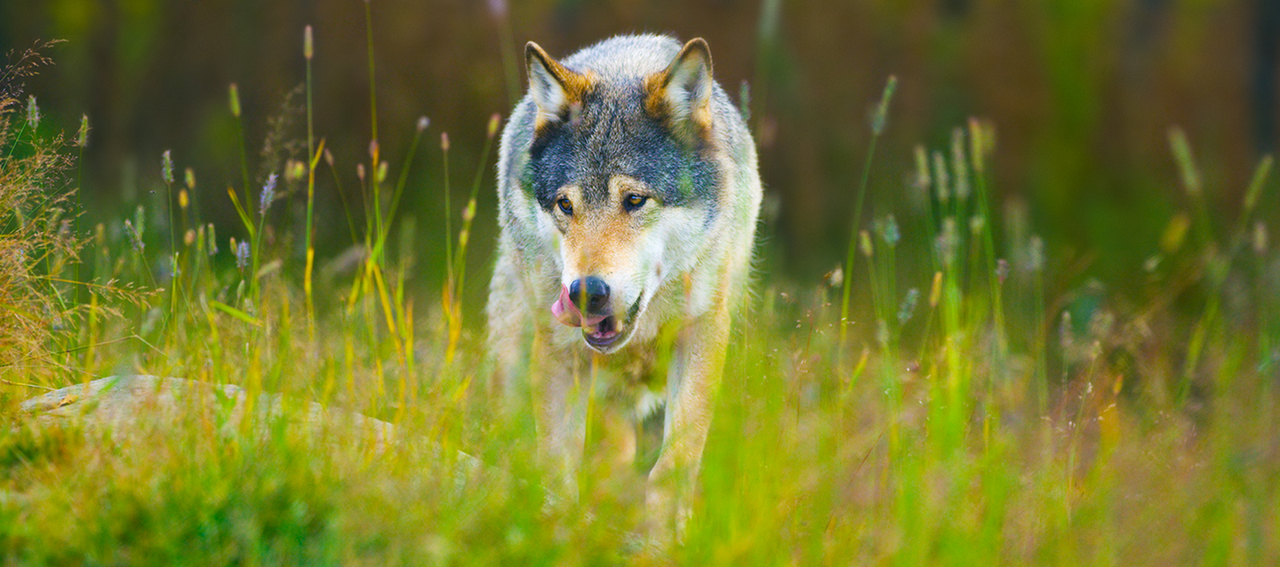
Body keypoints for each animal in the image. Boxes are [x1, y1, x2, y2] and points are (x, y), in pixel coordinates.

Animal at [486, 34, 762, 535]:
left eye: (634, 200)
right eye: (565, 205)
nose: (584, 292)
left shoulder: (702, 336)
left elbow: (673, 465)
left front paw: (665, 538)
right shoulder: (558, 351)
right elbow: (557, 464)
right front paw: (559, 533)